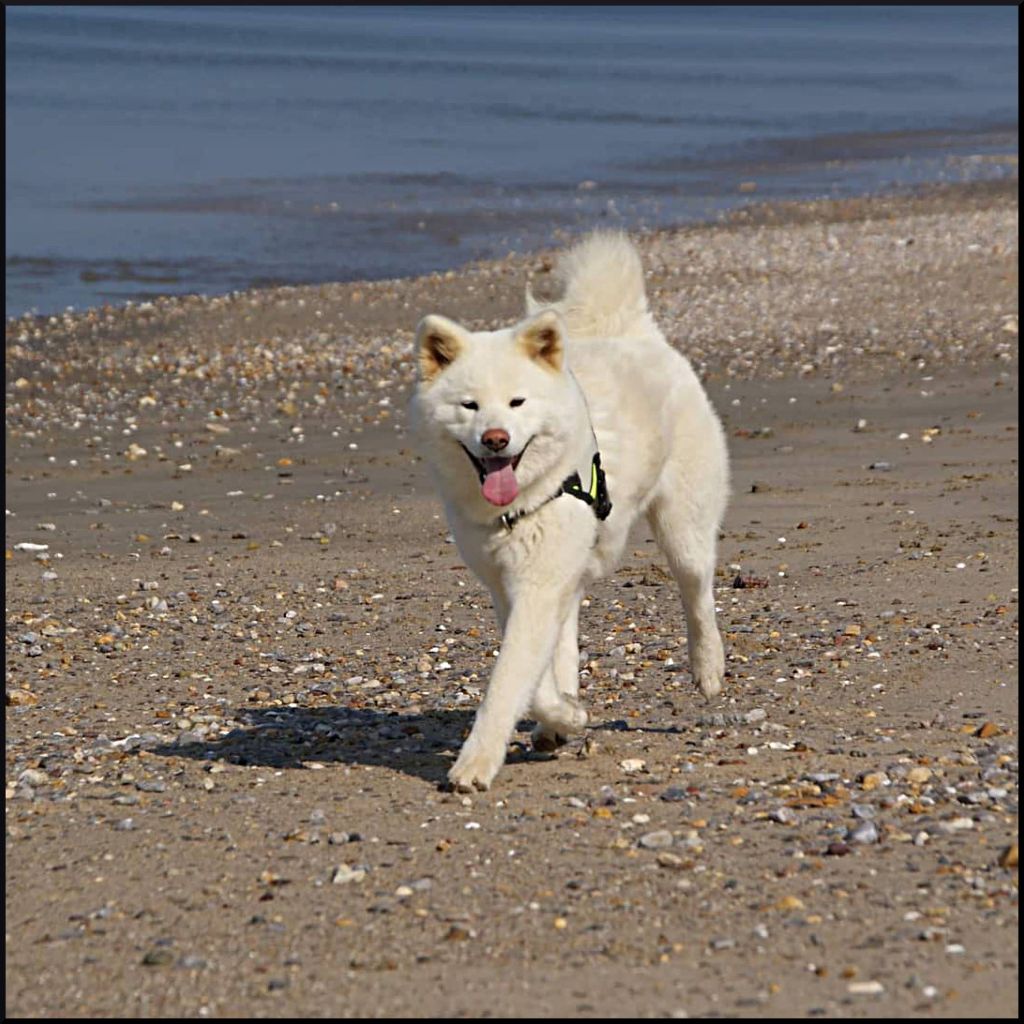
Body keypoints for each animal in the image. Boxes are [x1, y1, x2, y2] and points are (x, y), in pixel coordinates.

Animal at [410, 231, 729, 791]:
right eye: (470, 406)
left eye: (517, 403)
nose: (496, 438)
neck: (522, 503)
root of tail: (630, 328)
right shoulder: (511, 586)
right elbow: (536, 678)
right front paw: (565, 716)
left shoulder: (538, 585)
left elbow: (508, 681)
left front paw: (476, 763)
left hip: (682, 526)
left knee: (698, 593)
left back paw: (708, 669)